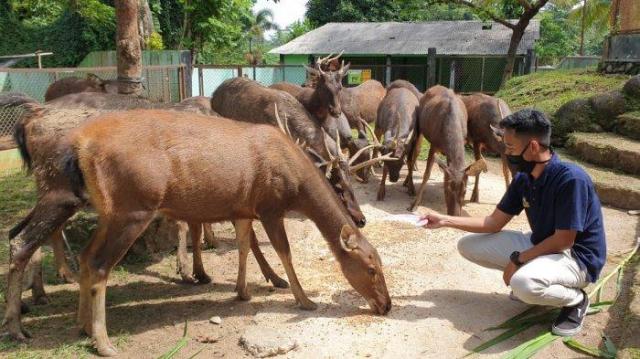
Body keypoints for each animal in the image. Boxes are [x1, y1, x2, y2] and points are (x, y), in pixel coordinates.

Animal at [408, 86, 488, 217]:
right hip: (418, 127)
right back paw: (409, 186)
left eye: (465, 191)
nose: (454, 214)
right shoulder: (434, 145)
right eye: (447, 189)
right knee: (413, 154)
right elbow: (426, 174)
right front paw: (414, 205)